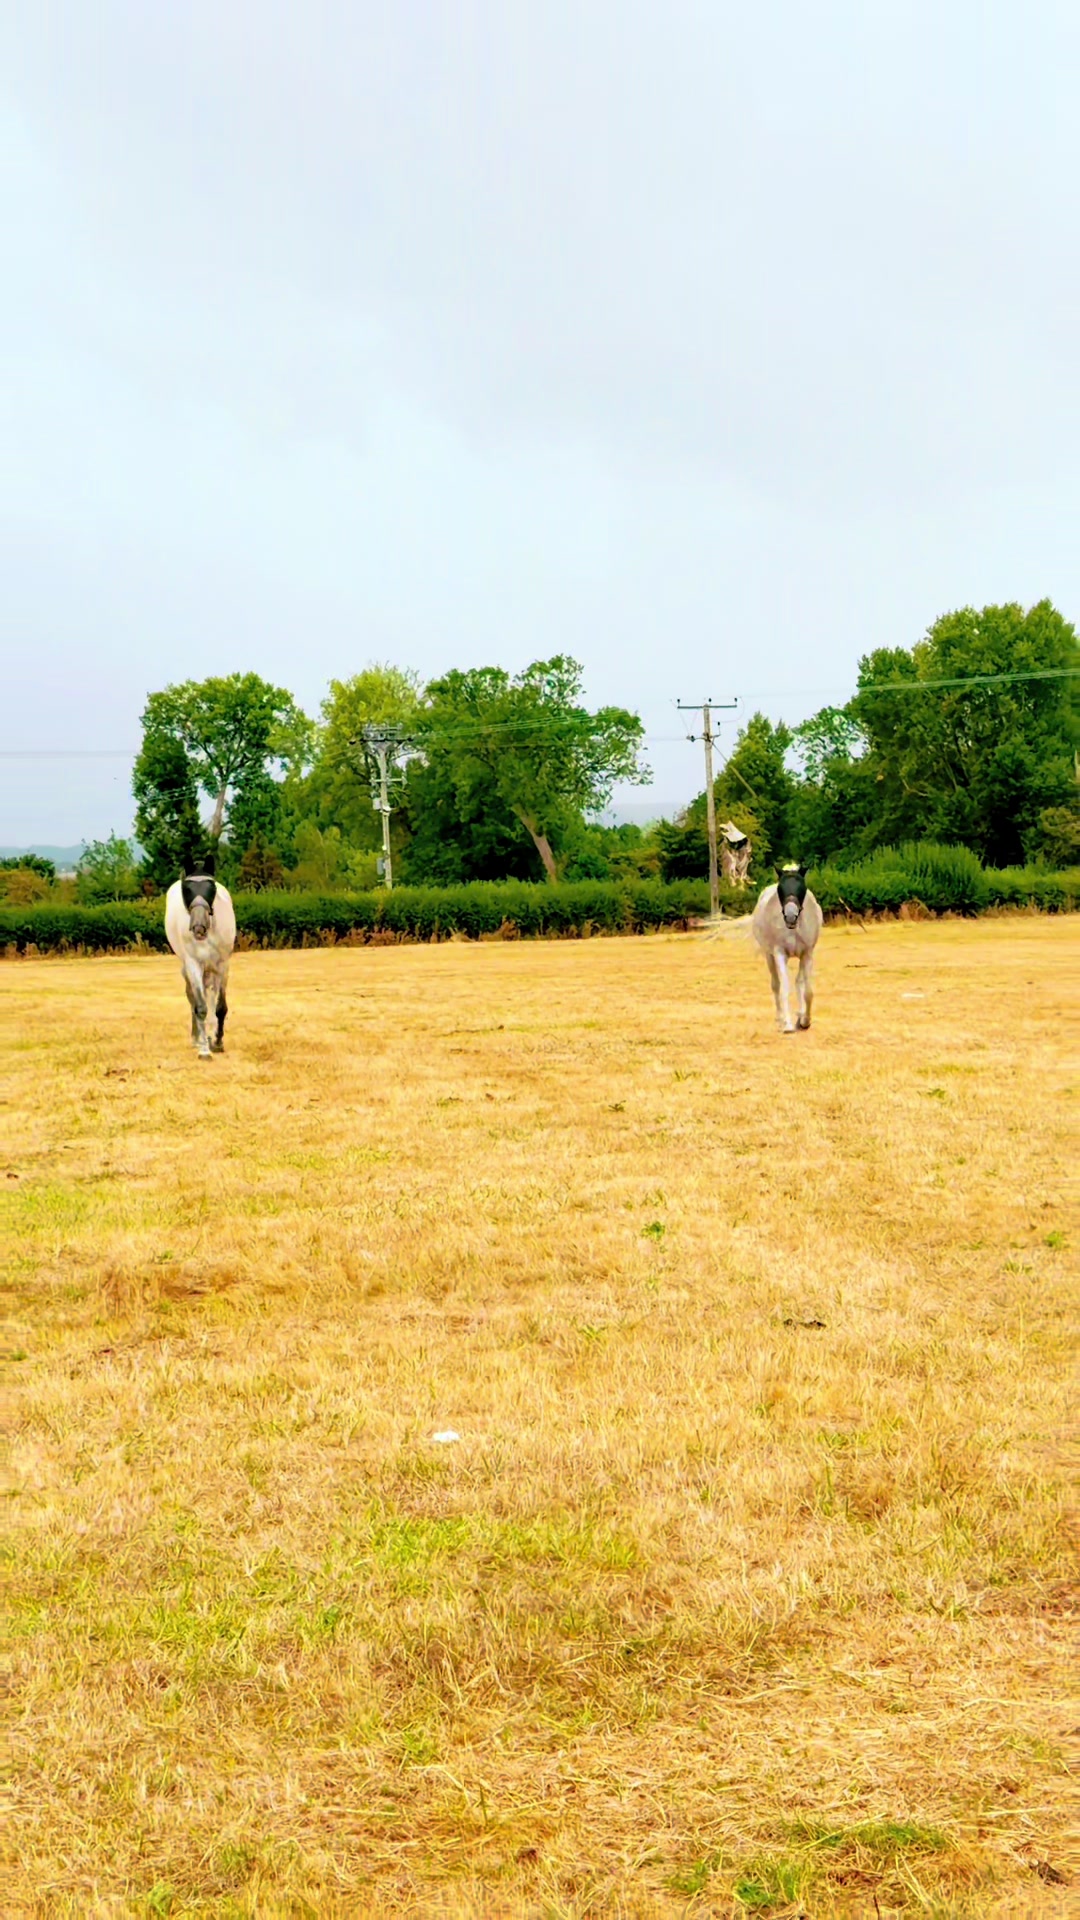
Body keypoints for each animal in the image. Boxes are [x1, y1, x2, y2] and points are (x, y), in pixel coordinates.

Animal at [164, 870, 236, 1058]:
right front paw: (204, 1049)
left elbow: (220, 1007)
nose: (198, 928)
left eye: (211, 889)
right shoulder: (193, 965)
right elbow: (200, 1006)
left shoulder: (223, 966)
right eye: (187, 890)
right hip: (188, 969)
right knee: (193, 999)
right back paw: (198, 1039)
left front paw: (217, 1042)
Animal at [752, 865, 822, 1033]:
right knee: (776, 985)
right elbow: (784, 987)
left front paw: (805, 1021)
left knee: (799, 982)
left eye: (802, 886)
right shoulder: (779, 954)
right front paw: (788, 1025)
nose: (791, 916)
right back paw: (780, 1018)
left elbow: (807, 991)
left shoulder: (807, 954)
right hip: (769, 956)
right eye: (780, 888)